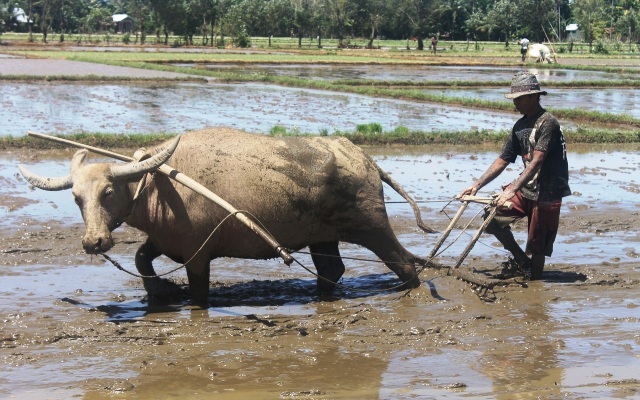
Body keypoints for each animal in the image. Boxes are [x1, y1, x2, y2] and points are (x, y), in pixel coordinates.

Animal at [17, 128, 432, 306]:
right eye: (76, 198)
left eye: (107, 192)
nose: (94, 242)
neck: (160, 186)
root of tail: (366, 160)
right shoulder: (164, 241)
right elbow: (140, 259)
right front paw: (159, 291)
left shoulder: (198, 255)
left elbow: (199, 293)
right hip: (322, 236)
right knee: (333, 270)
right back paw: (319, 297)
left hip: (371, 226)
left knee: (405, 263)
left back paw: (405, 292)